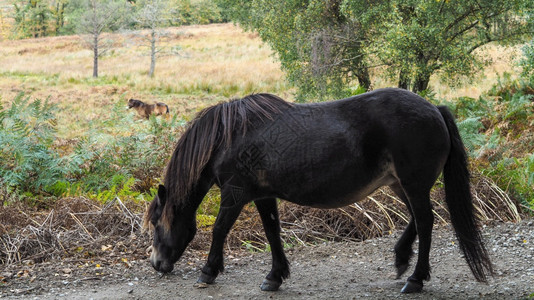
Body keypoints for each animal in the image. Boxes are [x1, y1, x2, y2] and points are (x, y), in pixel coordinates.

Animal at [146, 87, 494, 292]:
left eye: (155, 224)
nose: (156, 264)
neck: (227, 137)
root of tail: (435, 109)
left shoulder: (234, 194)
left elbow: (219, 229)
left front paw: (208, 271)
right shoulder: (263, 196)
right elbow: (272, 233)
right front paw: (275, 276)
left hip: (413, 185)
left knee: (425, 221)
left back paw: (415, 279)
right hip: (401, 185)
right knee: (418, 221)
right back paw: (401, 258)